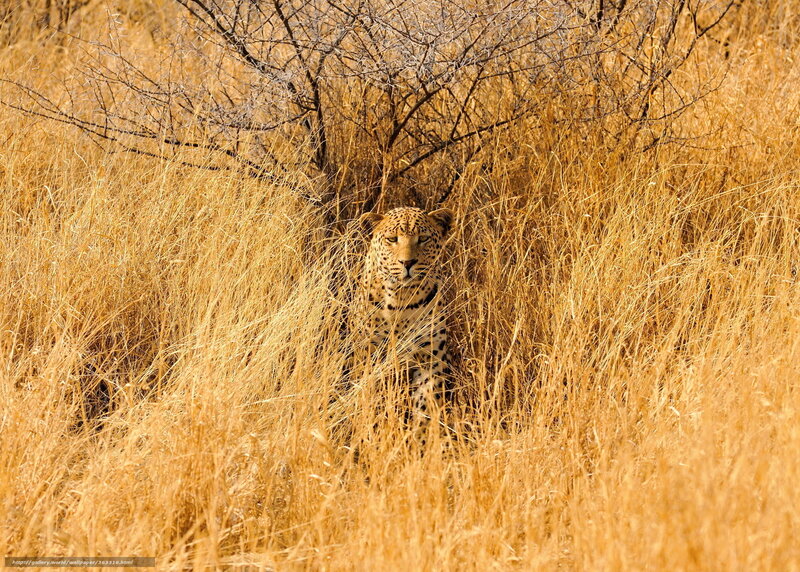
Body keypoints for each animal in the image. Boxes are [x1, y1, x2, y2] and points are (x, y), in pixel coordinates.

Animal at [349, 206, 455, 438]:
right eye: (392, 239)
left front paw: (420, 441)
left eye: (423, 238)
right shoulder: (370, 354)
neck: (402, 299)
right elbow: (374, 399)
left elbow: (425, 406)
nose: (407, 263)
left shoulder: (430, 357)